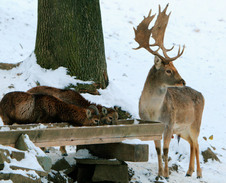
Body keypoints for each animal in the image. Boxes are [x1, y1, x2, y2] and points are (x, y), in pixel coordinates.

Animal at [134, 3, 205, 180]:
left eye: (175, 67)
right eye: (168, 70)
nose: (183, 81)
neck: (154, 111)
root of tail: (202, 95)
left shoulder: (169, 123)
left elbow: (166, 151)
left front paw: (166, 175)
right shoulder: (153, 126)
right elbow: (158, 151)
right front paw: (159, 174)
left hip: (195, 123)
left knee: (197, 143)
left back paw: (199, 174)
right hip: (183, 129)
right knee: (192, 144)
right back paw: (189, 171)